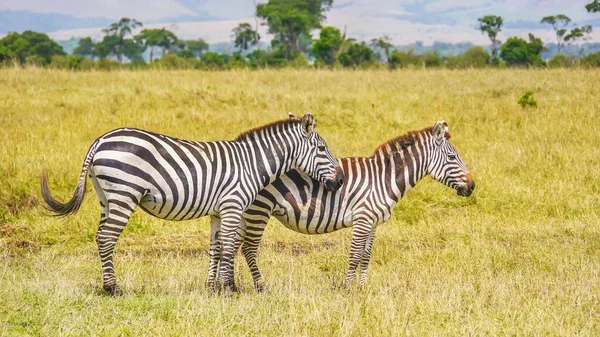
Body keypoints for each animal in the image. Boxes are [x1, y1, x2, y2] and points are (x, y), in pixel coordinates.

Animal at [41, 113, 342, 294]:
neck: (251, 164)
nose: (339, 180)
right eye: (322, 149)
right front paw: (230, 288)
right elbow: (230, 246)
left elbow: (216, 248)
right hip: (124, 193)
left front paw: (212, 287)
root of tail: (101, 139)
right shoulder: (232, 205)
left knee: (99, 236)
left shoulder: (218, 211)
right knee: (106, 239)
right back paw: (113, 288)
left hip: (107, 196)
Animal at [238, 118, 474, 288]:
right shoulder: (362, 218)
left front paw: (361, 288)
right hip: (259, 210)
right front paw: (348, 288)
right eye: (452, 158)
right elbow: (354, 255)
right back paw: (260, 286)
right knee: (248, 248)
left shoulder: (373, 222)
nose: (472, 186)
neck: (383, 178)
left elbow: (366, 256)